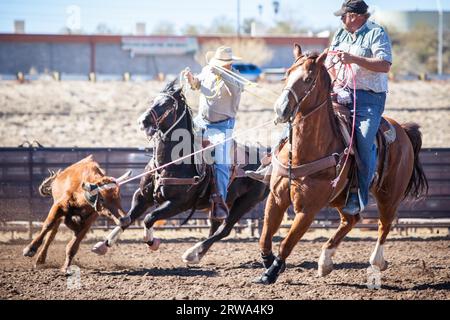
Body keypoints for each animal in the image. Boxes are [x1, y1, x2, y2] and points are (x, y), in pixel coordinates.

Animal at [92, 79, 268, 262]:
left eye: (167, 105)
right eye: (153, 101)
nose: (142, 121)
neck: (171, 162)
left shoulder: (178, 204)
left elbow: (148, 218)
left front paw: (152, 242)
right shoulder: (142, 196)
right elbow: (126, 219)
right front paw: (103, 245)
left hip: (245, 202)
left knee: (224, 230)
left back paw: (191, 253)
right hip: (224, 203)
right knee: (215, 227)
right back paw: (197, 254)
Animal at [256, 43, 428, 284]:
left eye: (308, 79)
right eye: (287, 74)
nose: (281, 110)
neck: (303, 152)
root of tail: (402, 129)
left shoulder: (308, 210)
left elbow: (288, 242)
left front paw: (272, 271)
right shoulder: (277, 199)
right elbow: (265, 237)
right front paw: (269, 262)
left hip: (389, 195)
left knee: (384, 224)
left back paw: (376, 261)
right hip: (341, 197)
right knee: (351, 219)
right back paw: (325, 262)